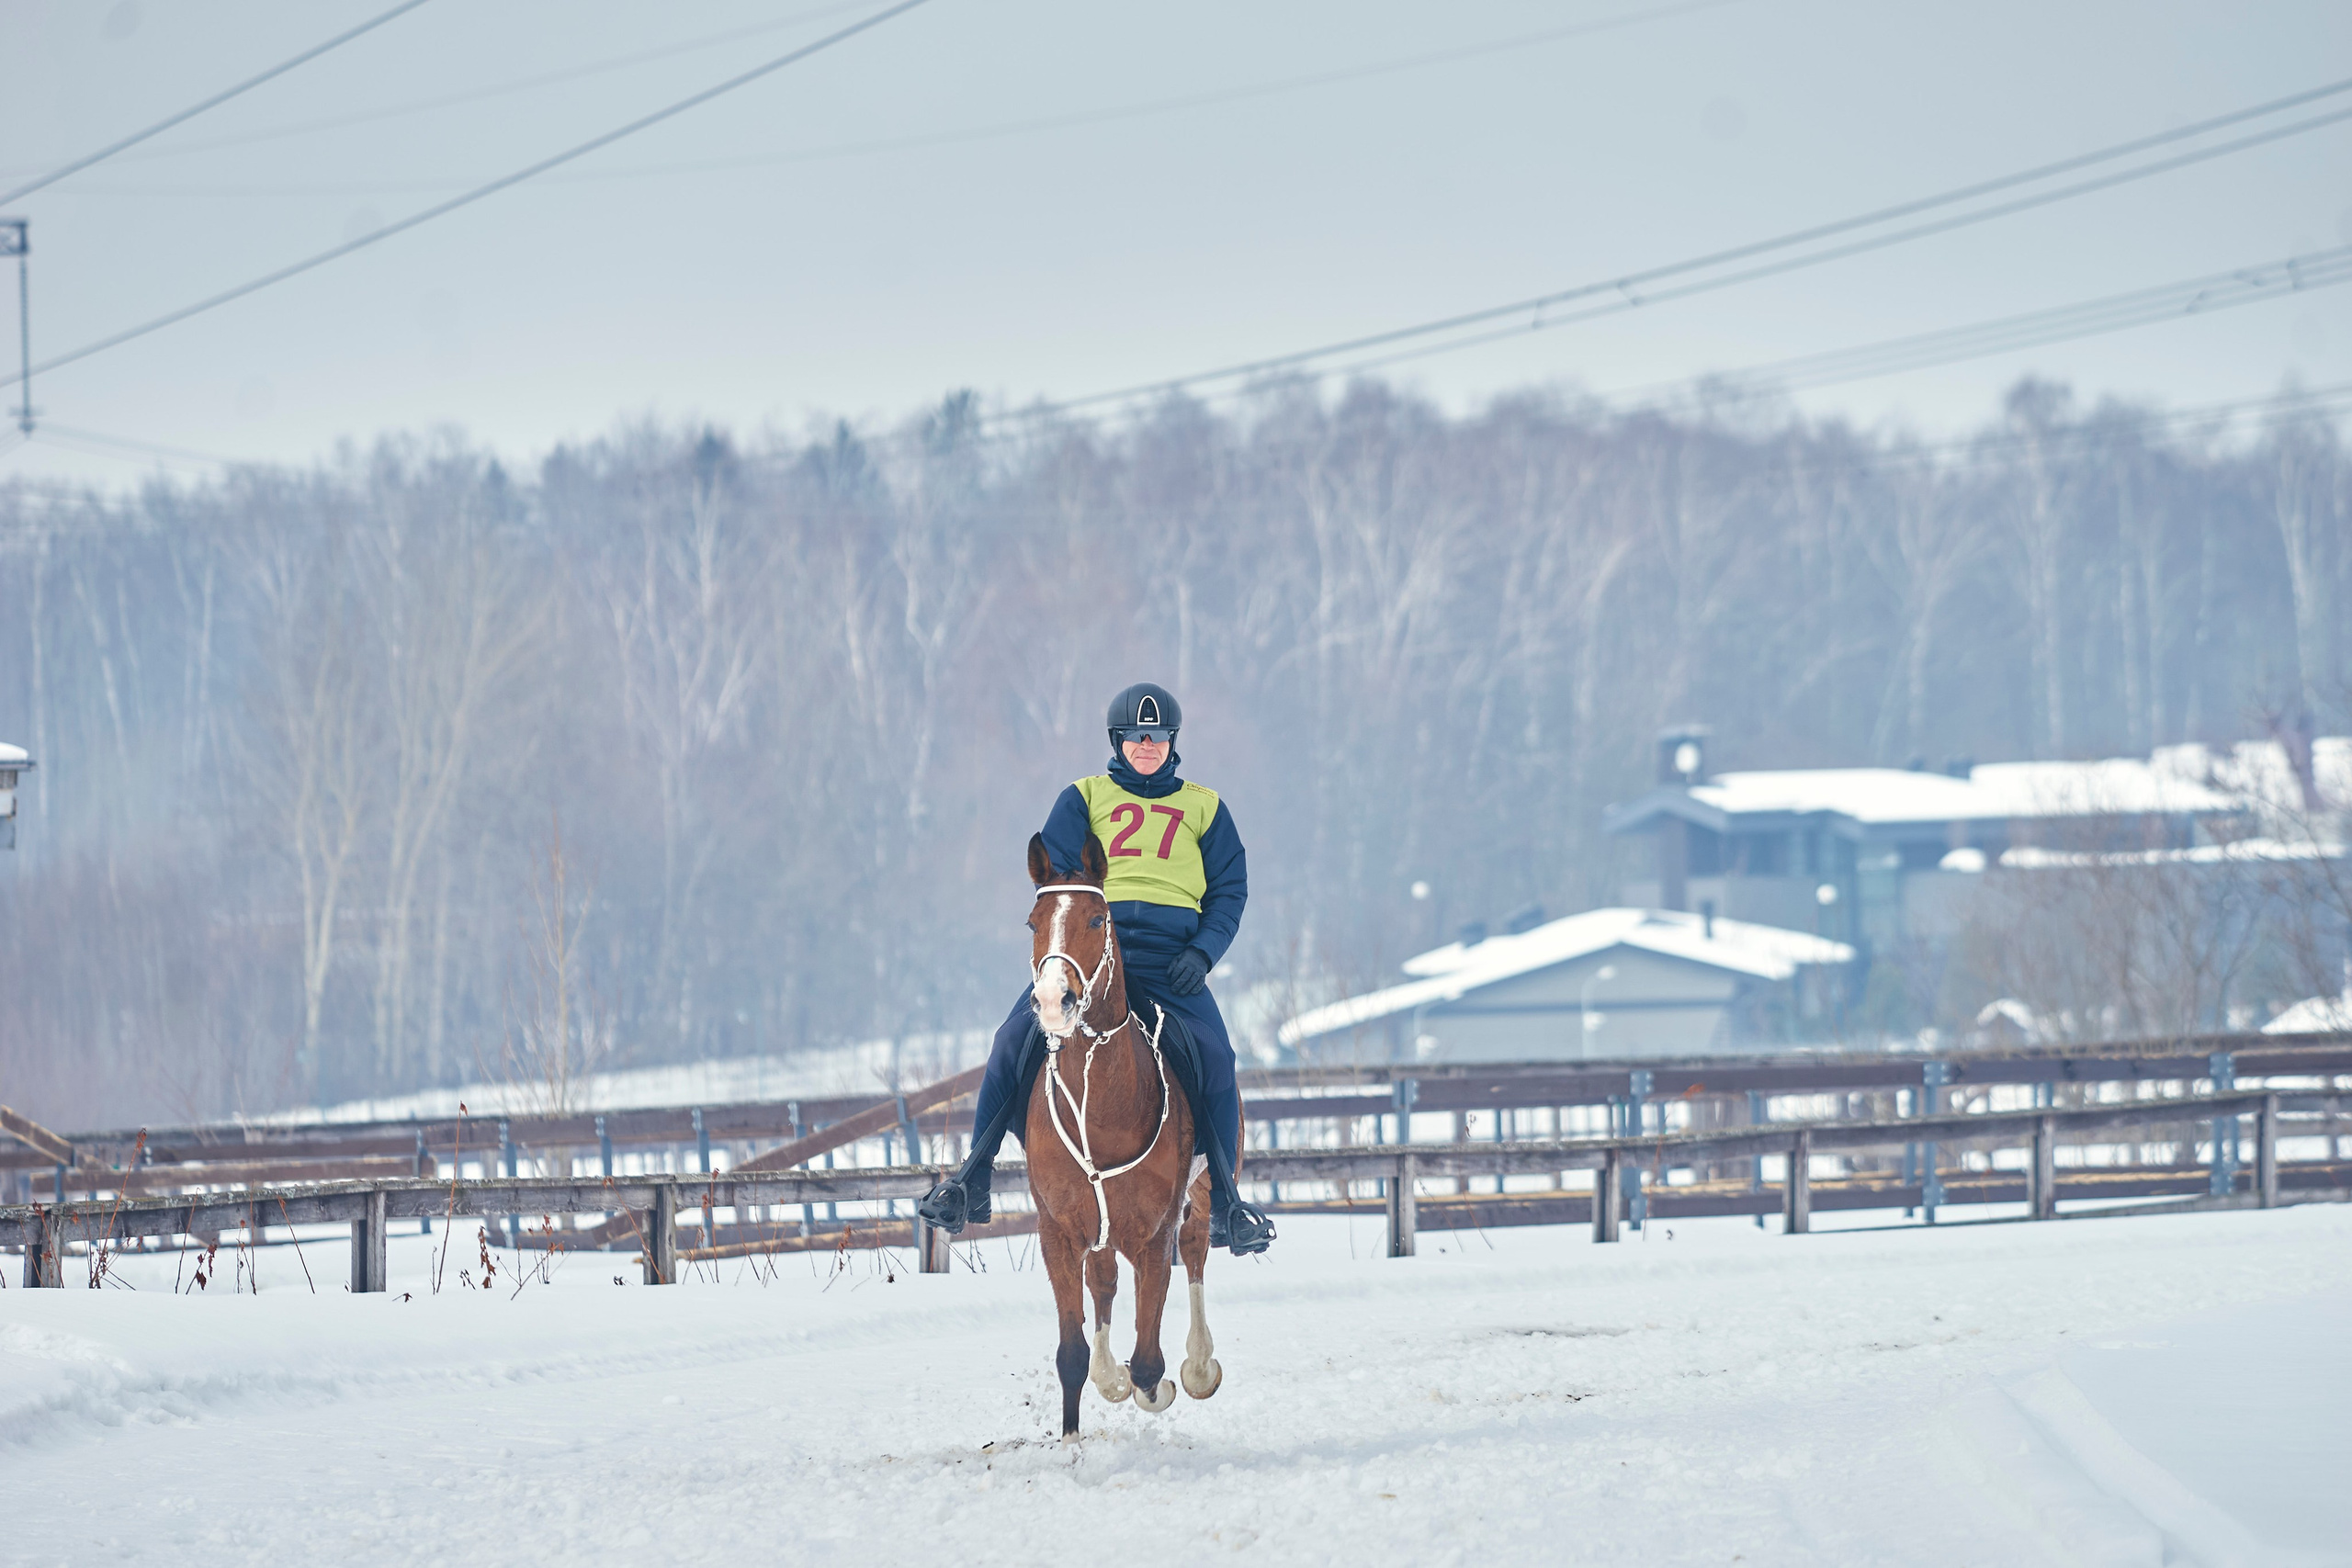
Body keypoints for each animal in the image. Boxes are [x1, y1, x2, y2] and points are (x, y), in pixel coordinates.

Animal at [1022, 830, 1226, 1440]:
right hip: (1098, 1229)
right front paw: (1072, 1441)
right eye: (1032, 921)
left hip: (1202, 1194)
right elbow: (1073, 1353)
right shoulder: (1059, 1232)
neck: (1103, 1107)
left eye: (1096, 918)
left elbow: (1150, 1364)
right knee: (1105, 1281)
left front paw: (1156, 1384)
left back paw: (1199, 1365)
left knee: (1197, 1249)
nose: (1053, 1001)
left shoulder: (1154, 1235)